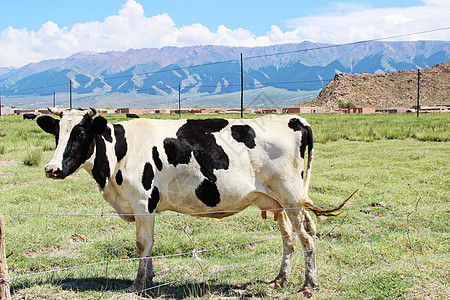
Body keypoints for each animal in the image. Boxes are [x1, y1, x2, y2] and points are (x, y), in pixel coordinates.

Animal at [37, 108, 348, 298]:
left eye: (79, 134)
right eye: (57, 134)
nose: (51, 169)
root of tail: (296, 119)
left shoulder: (141, 201)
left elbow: (142, 244)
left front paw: (138, 283)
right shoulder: (147, 207)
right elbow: (150, 244)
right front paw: (150, 279)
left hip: (291, 195)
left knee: (306, 235)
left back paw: (309, 285)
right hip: (276, 200)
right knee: (290, 237)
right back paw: (280, 279)